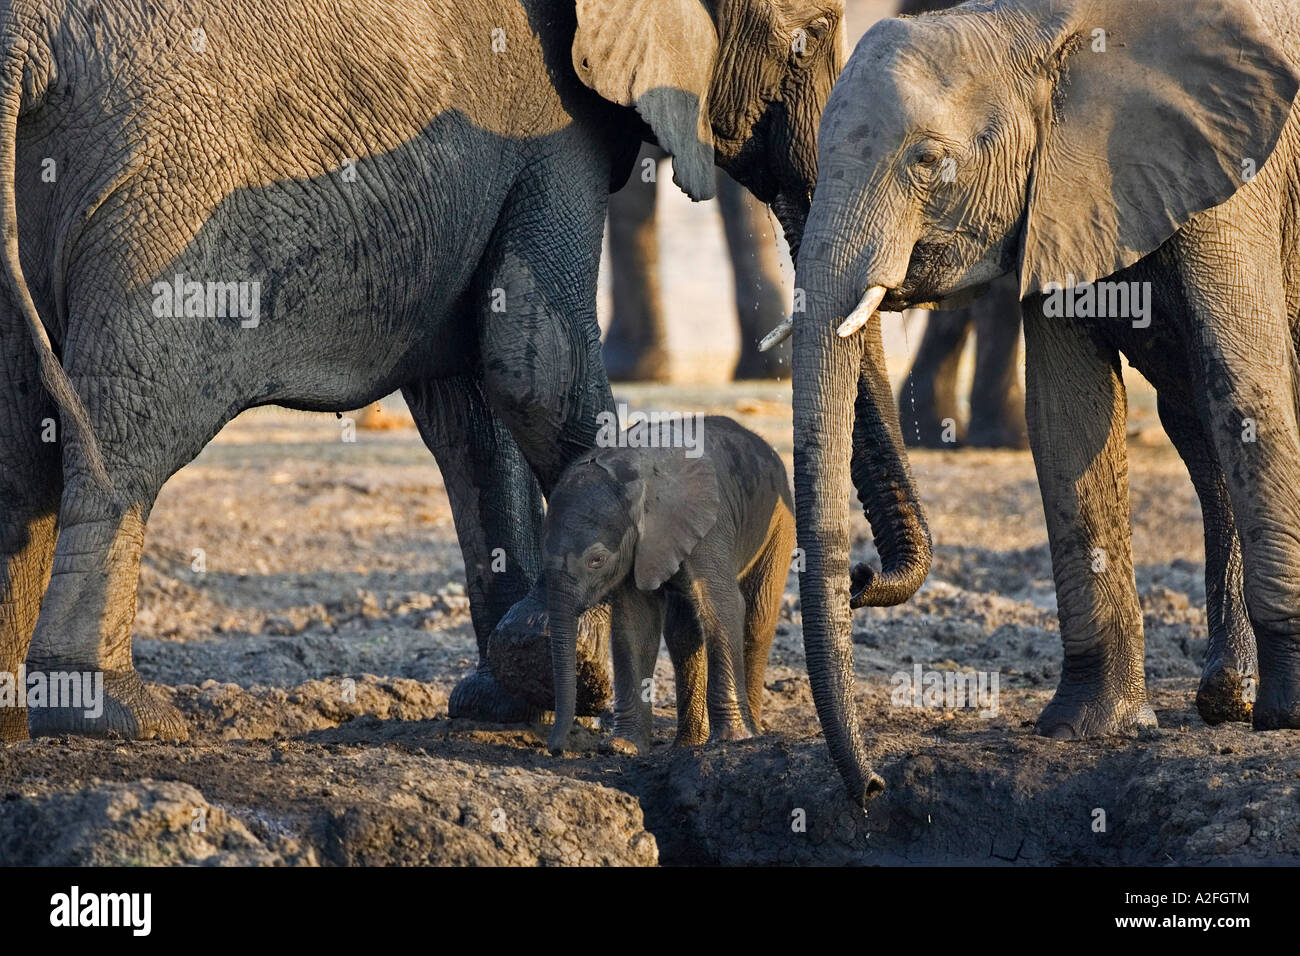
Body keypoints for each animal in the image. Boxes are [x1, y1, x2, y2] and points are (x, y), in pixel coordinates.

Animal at [538, 416, 790, 754]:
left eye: (597, 561)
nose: (555, 748)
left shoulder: (708, 523)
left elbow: (722, 604)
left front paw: (733, 739)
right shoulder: (638, 546)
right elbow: (635, 622)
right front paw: (622, 747)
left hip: (779, 521)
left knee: (757, 619)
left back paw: (752, 732)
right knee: (683, 633)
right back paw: (687, 744)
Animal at [780, 0, 1300, 806]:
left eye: (926, 161)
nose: (872, 789)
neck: (1032, 28)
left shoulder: (1236, 172)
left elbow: (1246, 383)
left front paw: (1289, 717)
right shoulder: (1063, 194)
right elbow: (1065, 414)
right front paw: (1089, 730)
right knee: (1191, 425)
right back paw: (1226, 699)